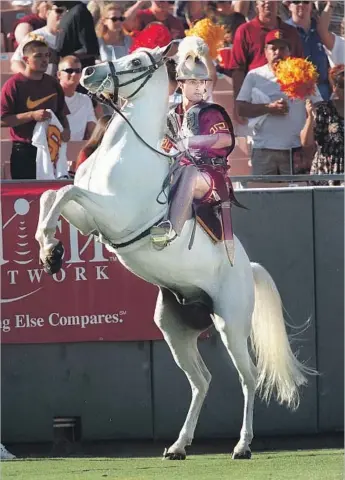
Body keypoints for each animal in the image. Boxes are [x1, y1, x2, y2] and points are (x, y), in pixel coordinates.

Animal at [35, 45, 314, 462]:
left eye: (137, 62)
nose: (87, 73)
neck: (124, 155)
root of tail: (247, 269)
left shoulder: (110, 215)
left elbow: (67, 192)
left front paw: (50, 247)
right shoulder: (90, 220)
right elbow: (52, 196)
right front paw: (49, 250)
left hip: (231, 324)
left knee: (247, 378)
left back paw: (242, 445)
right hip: (174, 329)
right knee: (202, 381)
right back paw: (179, 445)